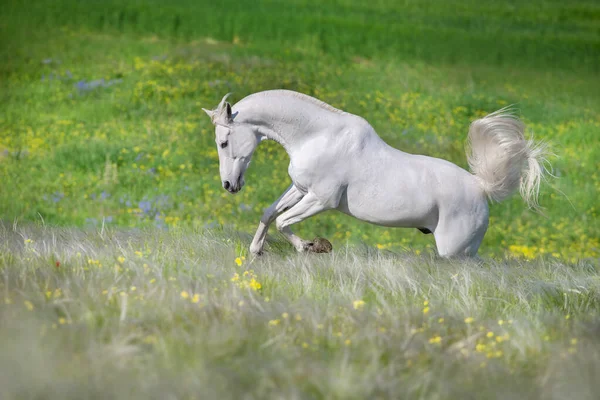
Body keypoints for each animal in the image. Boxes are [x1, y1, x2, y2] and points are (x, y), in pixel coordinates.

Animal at [203, 90, 548, 258]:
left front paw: (313, 247)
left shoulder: (321, 199)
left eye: (223, 142)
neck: (317, 136)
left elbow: (284, 222)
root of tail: (481, 187)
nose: (229, 185)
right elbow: (269, 213)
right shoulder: (300, 188)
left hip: (455, 251)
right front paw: (256, 251)